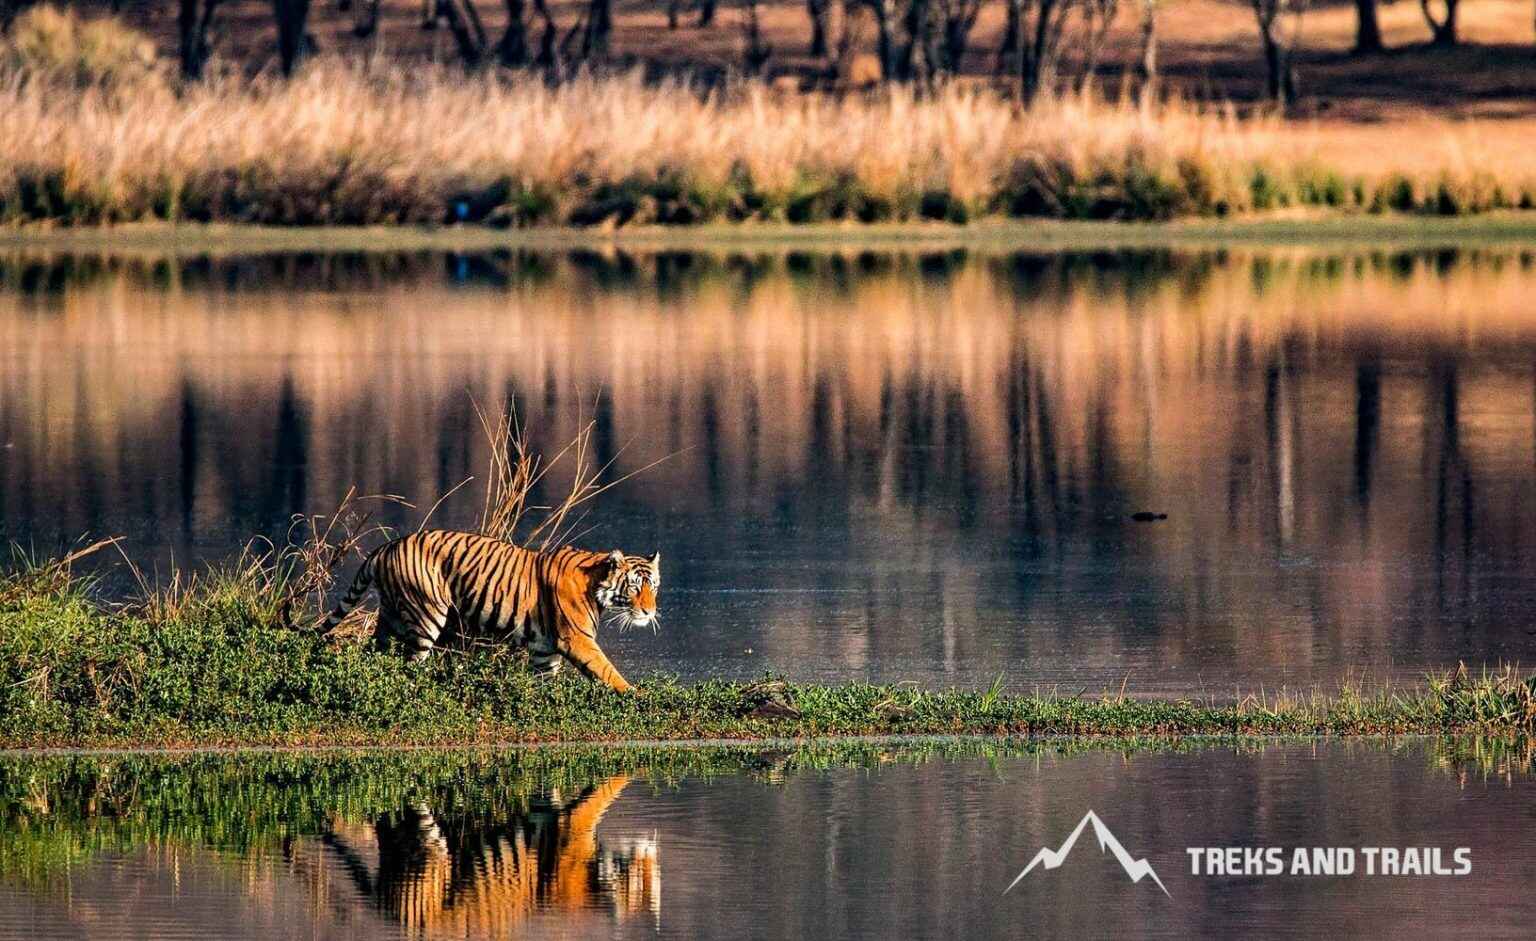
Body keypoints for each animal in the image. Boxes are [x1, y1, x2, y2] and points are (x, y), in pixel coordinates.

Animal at [321, 528, 657, 690]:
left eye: (653, 586)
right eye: (634, 587)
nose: (650, 612)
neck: (596, 583)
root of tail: (386, 547)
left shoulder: (545, 650)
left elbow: (544, 684)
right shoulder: (577, 640)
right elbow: (608, 672)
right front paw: (636, 696)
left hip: (390, 617)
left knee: (375, 653)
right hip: (425, 615)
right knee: (410, 663)